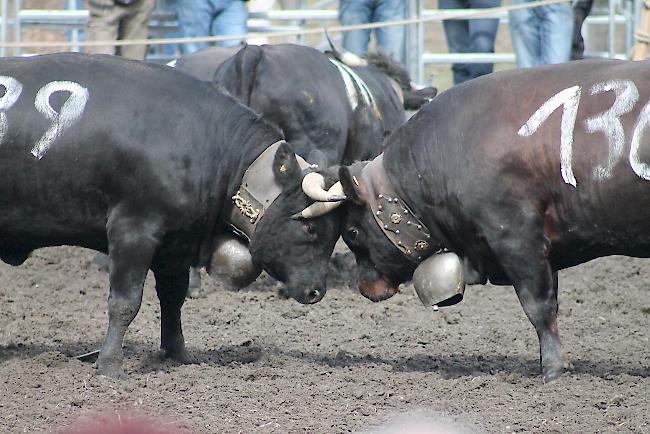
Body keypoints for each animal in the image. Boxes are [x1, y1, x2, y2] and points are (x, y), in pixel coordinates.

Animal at [0, 53, 342, 376]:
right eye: (310, 229)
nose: (317, 291)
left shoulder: (176, 244)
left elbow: (173, 298)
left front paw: (178, 355)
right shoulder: (132, 229)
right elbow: (125, 302)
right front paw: (110, 365)